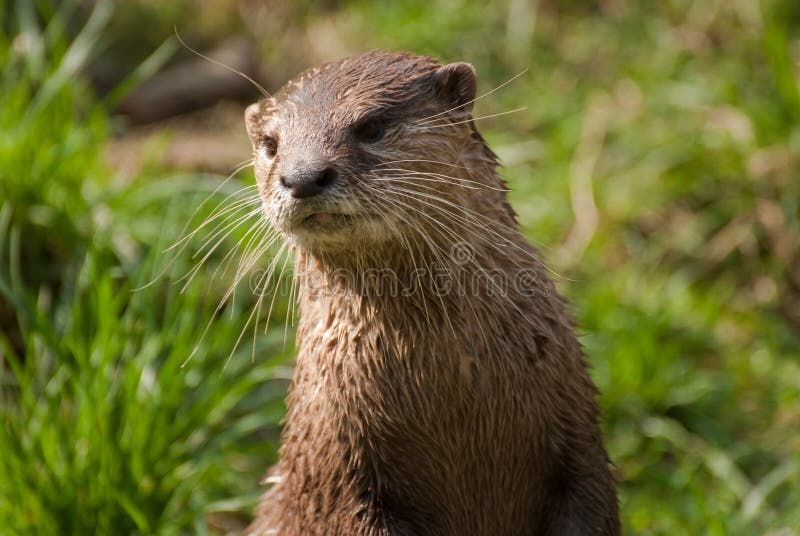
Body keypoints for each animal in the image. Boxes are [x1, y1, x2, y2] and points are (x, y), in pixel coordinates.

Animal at [242, 51, 620, 536]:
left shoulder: (582, 443)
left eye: (372, 126)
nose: (303, 175)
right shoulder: (334, 474)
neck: (449, 380)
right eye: (271, 144)